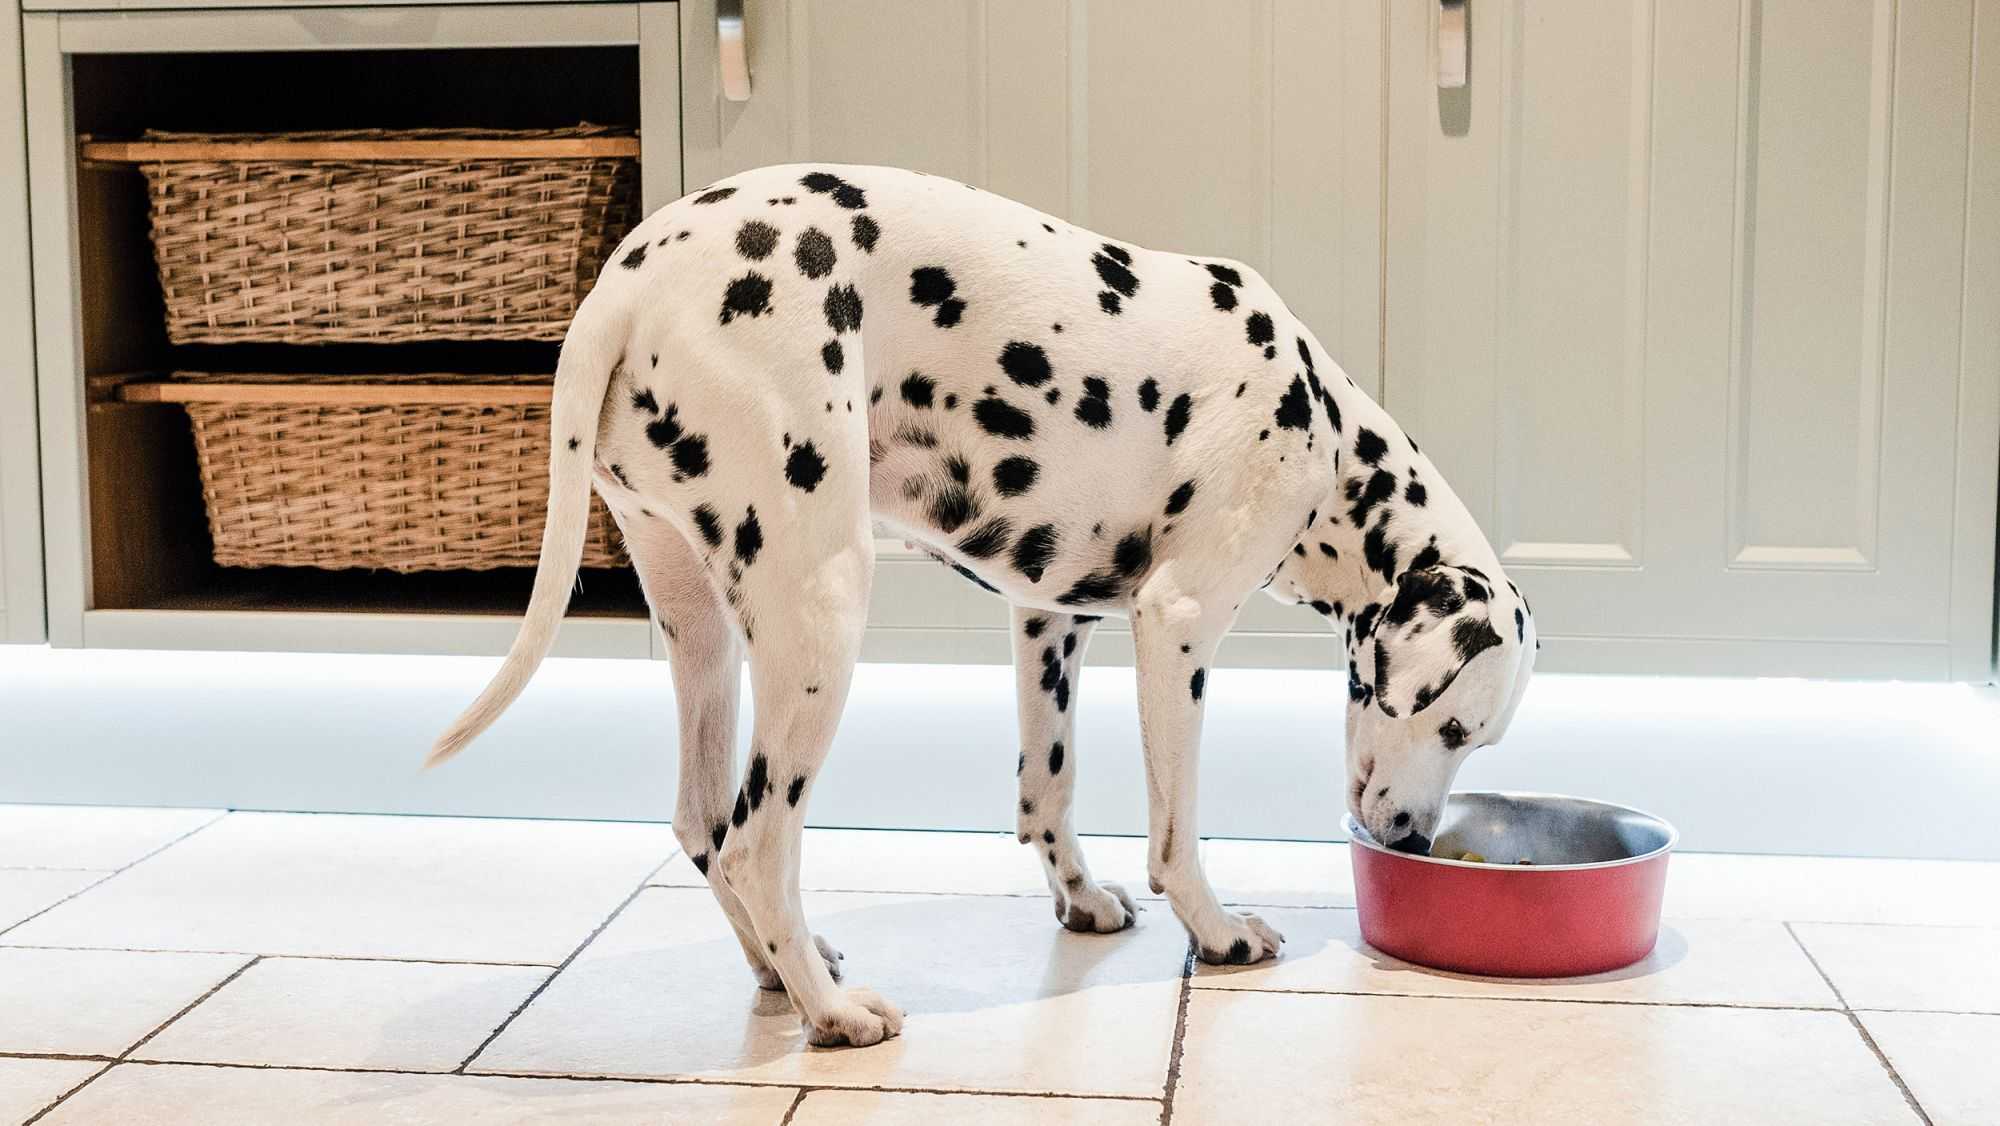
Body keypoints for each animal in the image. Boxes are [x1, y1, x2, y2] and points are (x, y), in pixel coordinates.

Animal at [430, 165, 1536, 1048]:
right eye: (1449, 726)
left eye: (1473, 742)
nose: (1410, 842)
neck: (1327, 435)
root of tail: (625, 284)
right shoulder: (1176, 628)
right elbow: (1176, 834)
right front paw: (1218, 932)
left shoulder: (1049, 620)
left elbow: (1047, 788)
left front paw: (1080, 900)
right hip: (821, 614)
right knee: (756, 841)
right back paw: (832, 1012)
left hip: (703, 635)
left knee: (705, 825)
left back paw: (786, 973)